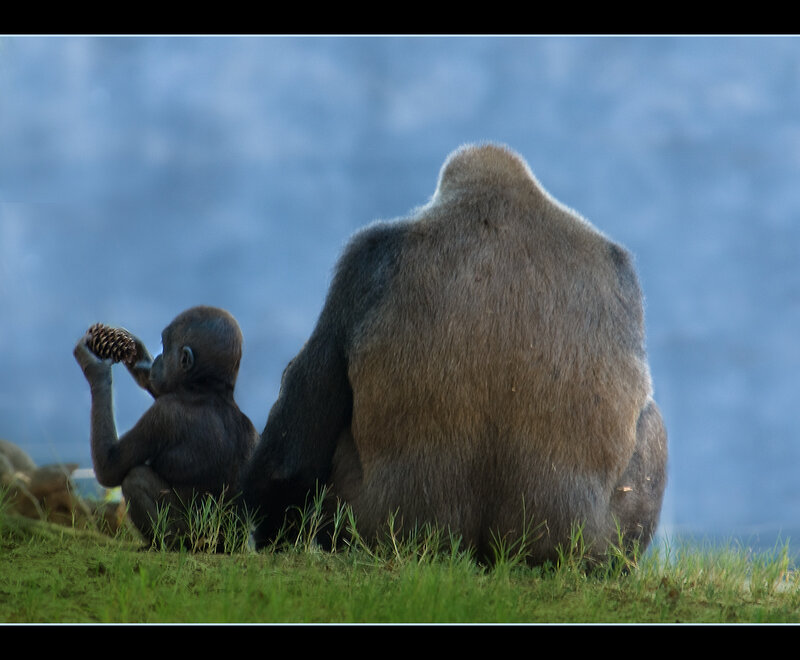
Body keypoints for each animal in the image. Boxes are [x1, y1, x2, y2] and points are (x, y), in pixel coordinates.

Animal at [74, 305, 259, 548]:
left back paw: (162, 544)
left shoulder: (163, 415)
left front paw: (95, 368)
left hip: (193, 536)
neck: (210, 389)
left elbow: (109, 468)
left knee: (136, 478)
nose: (159, 357)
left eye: (165, 345)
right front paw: (137, 354)